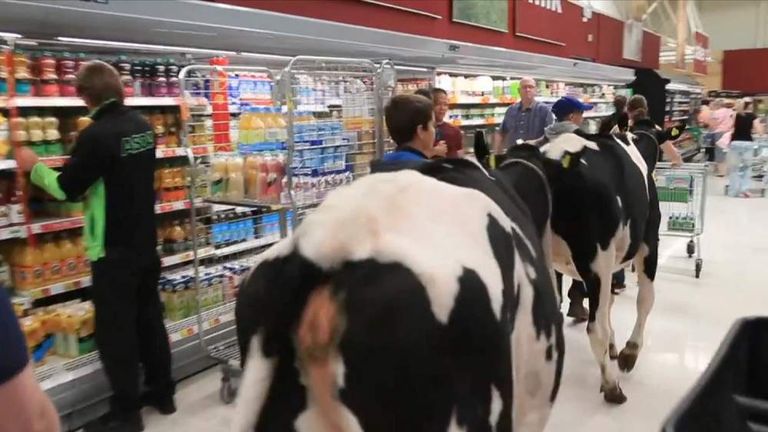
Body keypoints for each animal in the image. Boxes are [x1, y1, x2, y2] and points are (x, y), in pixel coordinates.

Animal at [504, 132, 660, 404]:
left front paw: (614, 347)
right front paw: (629, 351)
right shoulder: (646, 243)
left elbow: (609, 304)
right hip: (598, 258)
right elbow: (645, 300)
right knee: (596, 328)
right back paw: (612, 386)